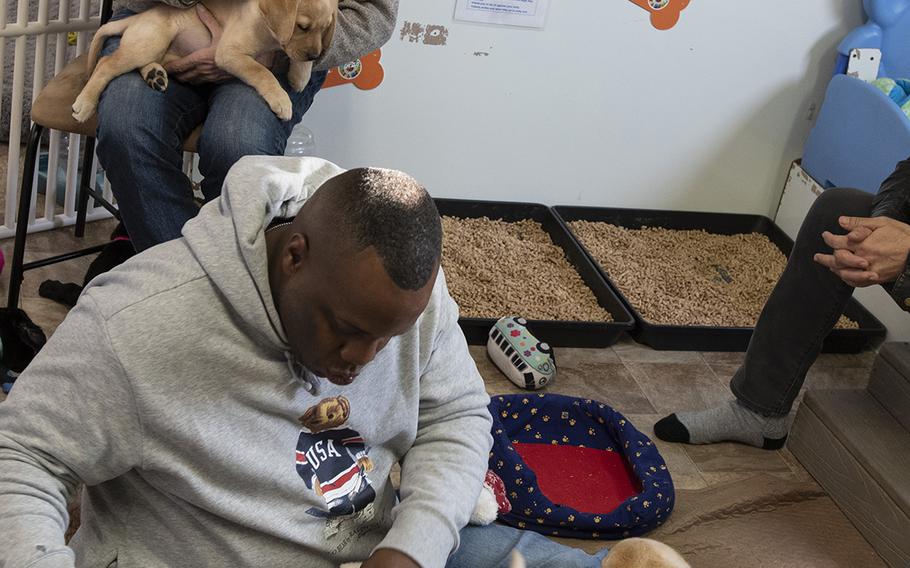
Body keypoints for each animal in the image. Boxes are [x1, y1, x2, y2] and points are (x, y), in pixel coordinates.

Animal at [71, 0, 334, 122]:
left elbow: (296, 56)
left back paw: (155, 75)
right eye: (302, 26)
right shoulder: (228, 52)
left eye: (324, 29)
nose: (315, 56)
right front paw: (281, 99)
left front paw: (300, 76)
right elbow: (262, 72)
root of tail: (137, 19)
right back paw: (84, 104)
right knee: (106, 63)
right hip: (149, 43)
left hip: (158, 49)